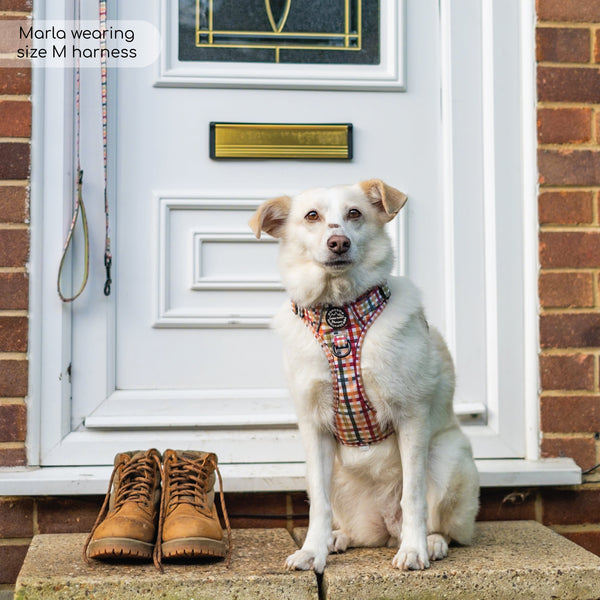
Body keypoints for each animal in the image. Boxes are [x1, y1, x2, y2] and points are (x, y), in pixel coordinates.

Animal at [248, 179, 478, 572]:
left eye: (354, 213)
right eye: (312, 216)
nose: (338, 242)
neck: (339, 313)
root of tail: (385, 528)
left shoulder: (412, 416)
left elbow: (414, 495)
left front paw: (414, 550)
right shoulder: (313, 426)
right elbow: (320, 506)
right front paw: (312, 550)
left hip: (448, 456)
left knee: (441, 524)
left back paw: (430, 542)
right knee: (348, 525)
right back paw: (335, 539)